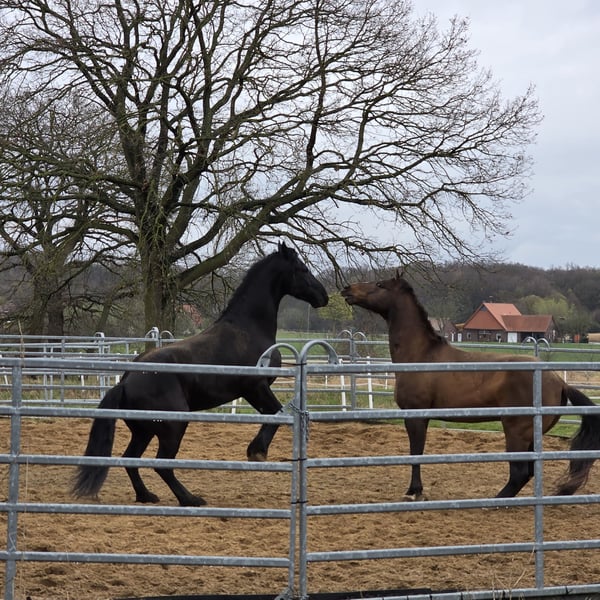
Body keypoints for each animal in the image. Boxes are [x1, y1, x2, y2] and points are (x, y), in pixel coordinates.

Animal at [72, 243, 328, 506]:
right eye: (303, 269)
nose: (324, 296)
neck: (249, 328)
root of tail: (126, 382)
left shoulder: (252, 392)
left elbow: (273, 415)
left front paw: (256, 450)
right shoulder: (256, 387)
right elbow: (277, 414)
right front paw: (257, 451)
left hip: (144, 431)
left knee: (130, 459)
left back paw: (146, 495)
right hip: (173, 427)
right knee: (162, 464)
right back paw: (190, 499)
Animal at [341, 272, 600, 499]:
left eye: (379, 284)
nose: (347, 289)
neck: (421, 355)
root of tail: (559, 381)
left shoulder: (414, 415)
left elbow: (416, 453)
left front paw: (414, 491)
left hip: (516, 432)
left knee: (519, 473)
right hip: (530, 436)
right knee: (527, 472)